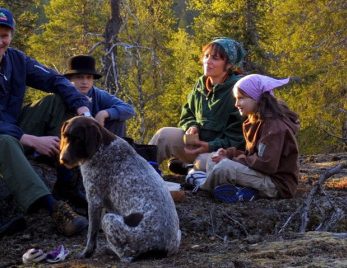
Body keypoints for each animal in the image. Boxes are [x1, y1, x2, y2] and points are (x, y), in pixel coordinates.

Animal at [59, 116, 182, 262]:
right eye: (64, 136)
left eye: (78, 139)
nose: (62, 159)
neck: (101, 148)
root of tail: (163, 249)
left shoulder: (94, 200)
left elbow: (91, 234)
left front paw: (86, 253)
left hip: (109, 220)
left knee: (126, 256)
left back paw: (110, 251)